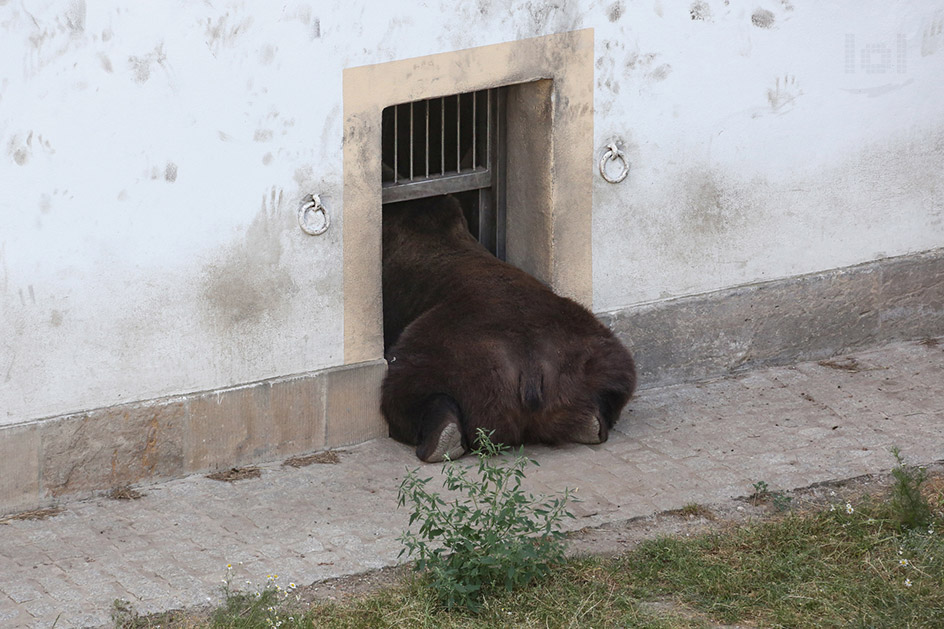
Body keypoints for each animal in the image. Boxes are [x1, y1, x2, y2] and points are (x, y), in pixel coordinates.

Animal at [380, 193, 636, 462]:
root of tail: (533, 372)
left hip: (455, 354)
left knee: (406, 382)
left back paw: (440, 437)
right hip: (585, 346)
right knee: (617, 373)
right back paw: (592, 420)